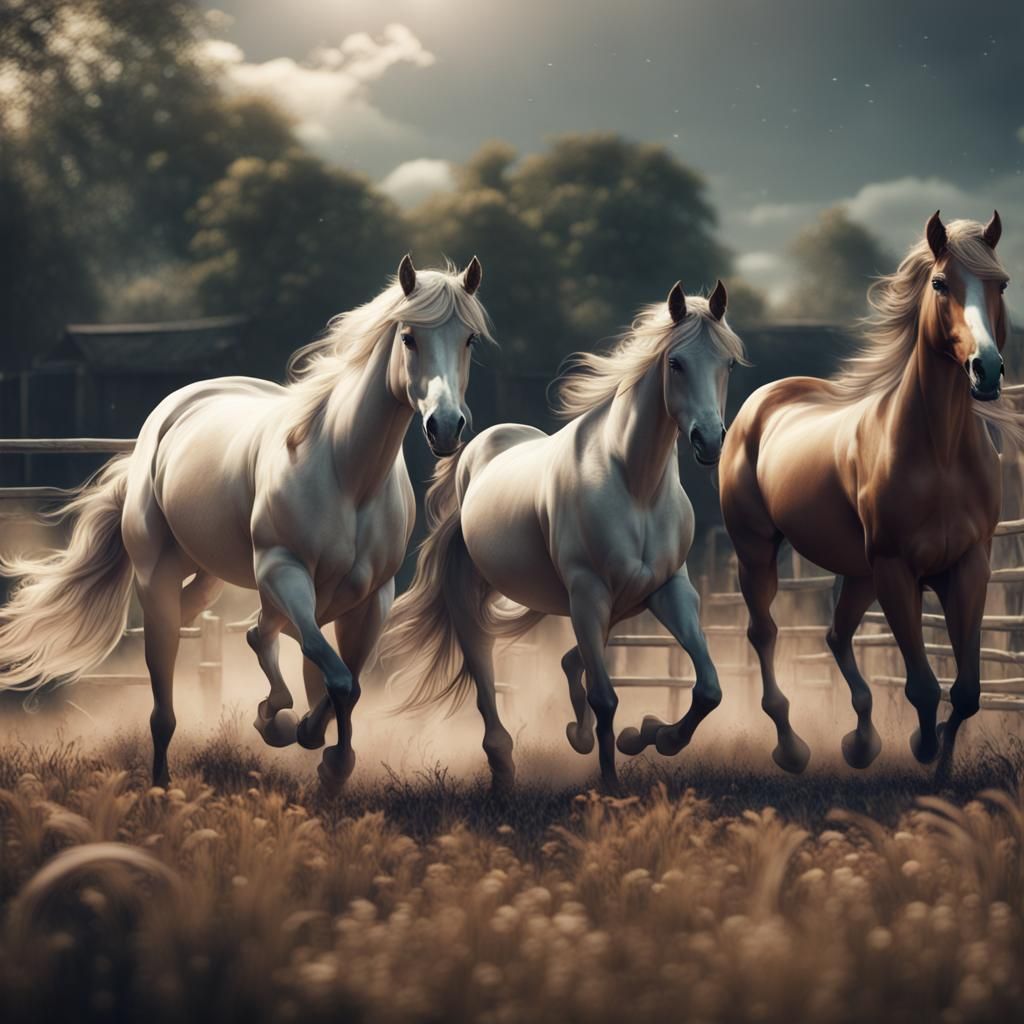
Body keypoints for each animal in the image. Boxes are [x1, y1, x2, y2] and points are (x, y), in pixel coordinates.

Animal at [0, 256, 492, 790]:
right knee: (166, 680)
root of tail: (167, 415)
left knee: (251, 630)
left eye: (469, 339)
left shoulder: (372, 595)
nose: (446, 427)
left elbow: (347, 680)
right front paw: (305, 738)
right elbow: (336, 675)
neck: (346, 472)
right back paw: (162, 782)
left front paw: (325, 755)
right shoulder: (284, 570)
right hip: (161, 578)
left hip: (214, 576)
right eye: (408, 337)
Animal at [378, 281, 745, 790]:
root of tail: (475, 447)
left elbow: (709, 688)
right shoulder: (588, 593)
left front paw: (650, 735)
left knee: (575, 662)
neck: (635, 483)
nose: (709, 440)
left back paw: (578, 734)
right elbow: (606, 698)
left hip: (613, 601)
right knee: (483, 667)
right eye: (676, 363)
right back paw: (503, 764)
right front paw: (611, 784)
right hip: (477, 595)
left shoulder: (670, 590)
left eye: (727, 363)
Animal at [719, 212, 1017, 777]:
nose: (986, 370)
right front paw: (922, 748)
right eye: (940, 283)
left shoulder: (970, 566)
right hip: (757, 552)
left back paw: (860, 742)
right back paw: (792, 747)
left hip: (858, 573)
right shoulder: (897, 569)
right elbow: (922, 686)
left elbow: (966, 692)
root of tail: (765, 398)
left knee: (836, 635)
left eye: (1002, 284)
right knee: (764, 634)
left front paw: (941, 766)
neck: (940, 454)